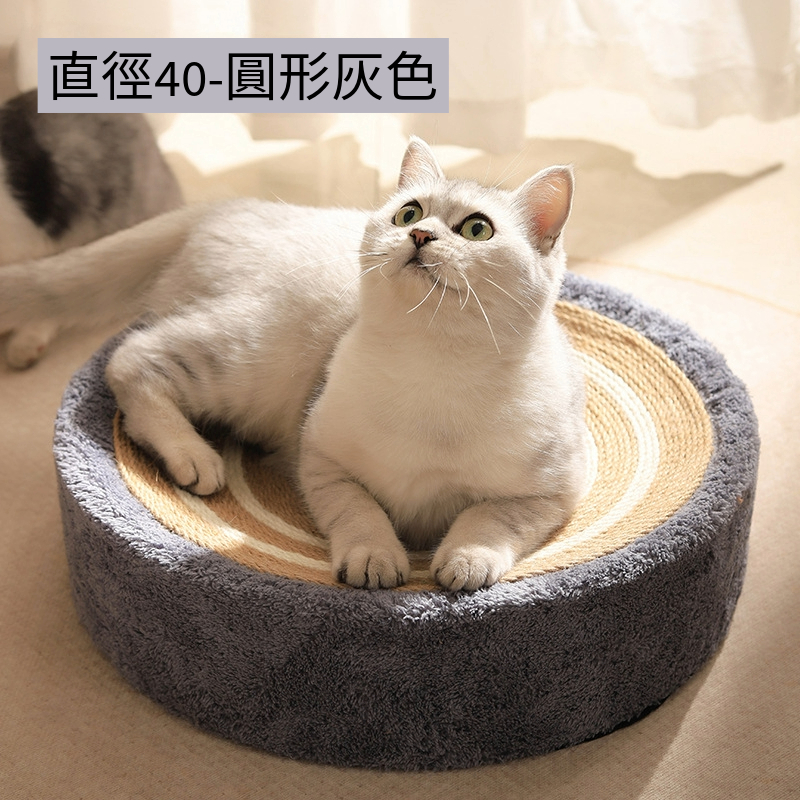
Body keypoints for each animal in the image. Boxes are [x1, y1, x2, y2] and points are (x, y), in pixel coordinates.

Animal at [0, 136, 590, 591]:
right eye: (409, 213)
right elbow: (360, 512)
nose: (420, 235)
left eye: (476, 230)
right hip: (249, 355)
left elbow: (488, 519)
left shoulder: (550, 493)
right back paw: (194, 457)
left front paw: (465, 562)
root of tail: (229, 205)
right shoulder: (322, 459)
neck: (435, 368)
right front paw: (376, 559)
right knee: (131, 357)